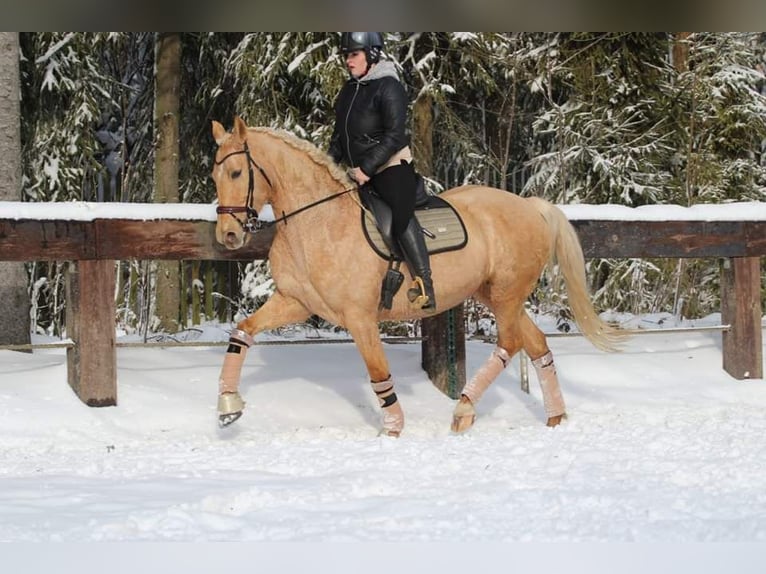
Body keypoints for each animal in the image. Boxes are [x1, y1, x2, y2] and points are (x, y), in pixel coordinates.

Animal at [212, 118, 632, 440]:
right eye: (216, 174)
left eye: (236, 172)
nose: (228, 235)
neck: (317, 223)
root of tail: (529, 205)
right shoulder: (294, 303)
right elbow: (242, 331)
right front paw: (228, 407)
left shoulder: (359, 318)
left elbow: (378, 372)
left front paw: (393, 430)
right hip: (497, 296)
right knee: (536, 344)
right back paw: (555, 416)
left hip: (507, 294)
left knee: (511, 343)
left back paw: (464, 410)